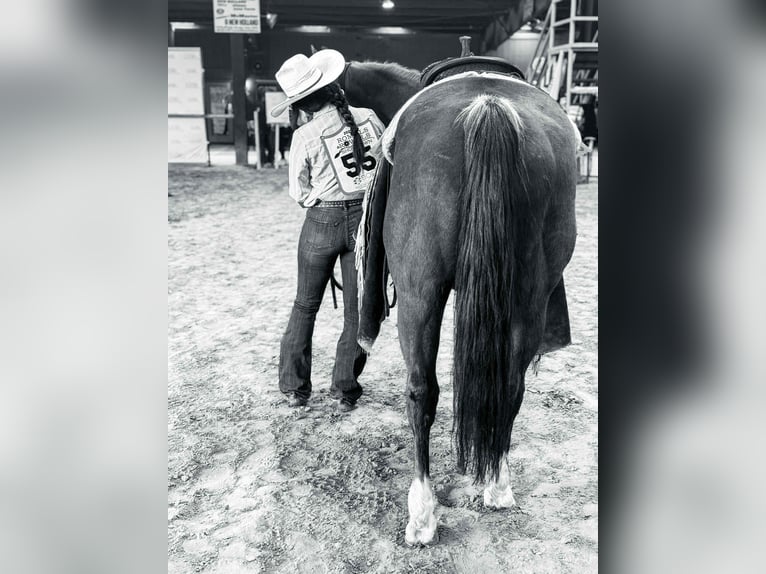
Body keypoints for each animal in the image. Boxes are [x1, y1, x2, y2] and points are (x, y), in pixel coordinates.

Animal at [340, 60, 579, 545]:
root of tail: (488, 108)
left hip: (419, 293)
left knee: (420, 392)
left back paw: (422, 513)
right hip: (528, 295)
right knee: (511, 387)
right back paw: (498, 486)